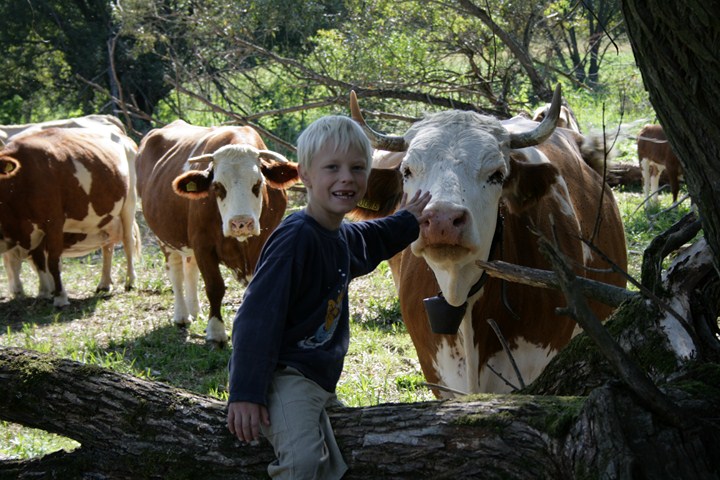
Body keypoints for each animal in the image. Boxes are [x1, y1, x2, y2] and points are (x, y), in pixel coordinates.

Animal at [0, 126, 142, 308]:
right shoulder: (33, 230)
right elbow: (38, 261)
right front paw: (44, 293)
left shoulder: (53, 222)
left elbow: (52, 261)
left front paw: (60, 297)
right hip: (105, 215)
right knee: (107, 246)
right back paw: (104, 283)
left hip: (129, 202)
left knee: (128, 241)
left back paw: (130, 281)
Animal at [136, 119, 300, 344]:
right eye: (218, 186)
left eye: (258, 183)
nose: (241, 223)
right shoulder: (203, 245)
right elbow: (214, 287)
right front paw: (215, 331)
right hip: (165, 239)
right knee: (176, 272)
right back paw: (182, 315)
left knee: (190, 269)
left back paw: (195, 309)